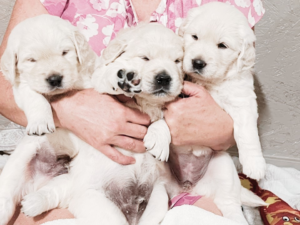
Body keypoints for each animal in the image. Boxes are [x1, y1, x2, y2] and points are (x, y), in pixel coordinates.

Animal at [0, 23, 184, 225]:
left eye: (177, 61)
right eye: (145, 58)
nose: (164, 78)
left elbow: (161, 117)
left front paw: (159, 140)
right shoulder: (99, 85)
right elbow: (104, 78)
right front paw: (121, 79)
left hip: (157, 198)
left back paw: (34, 202)